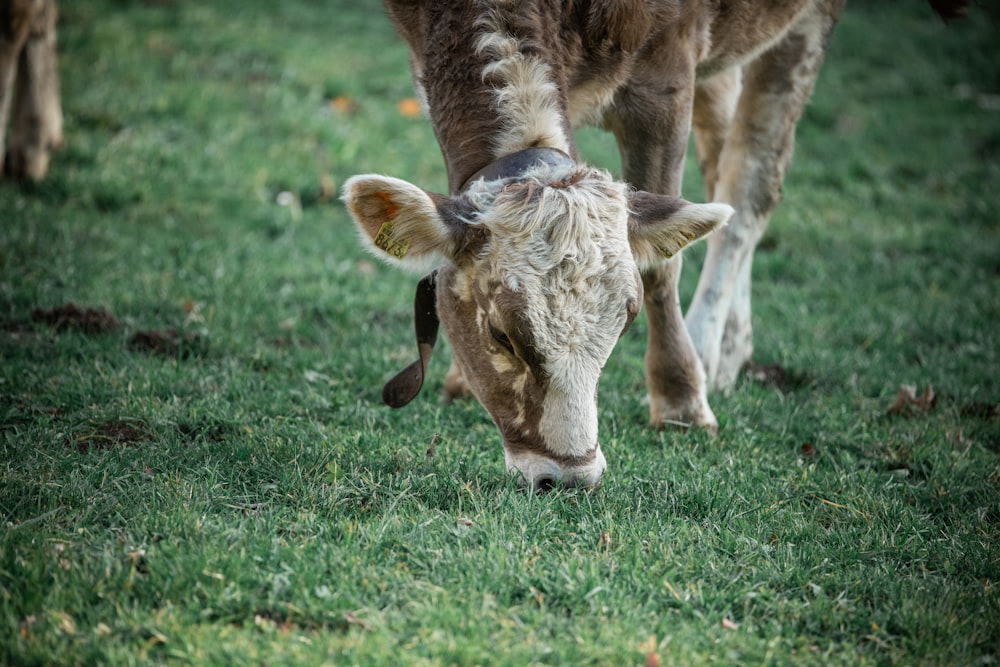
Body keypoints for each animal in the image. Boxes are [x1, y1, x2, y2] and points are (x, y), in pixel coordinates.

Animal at [340, 0, 964, 490]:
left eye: (626, 320)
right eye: (500, 334)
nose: (569, 477)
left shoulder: (667, 65)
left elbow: (664, 264)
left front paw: (682, 398)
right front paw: (457, 378)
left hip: (803, 24)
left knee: (750, 186)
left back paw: (711, 349)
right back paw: (733, 345)